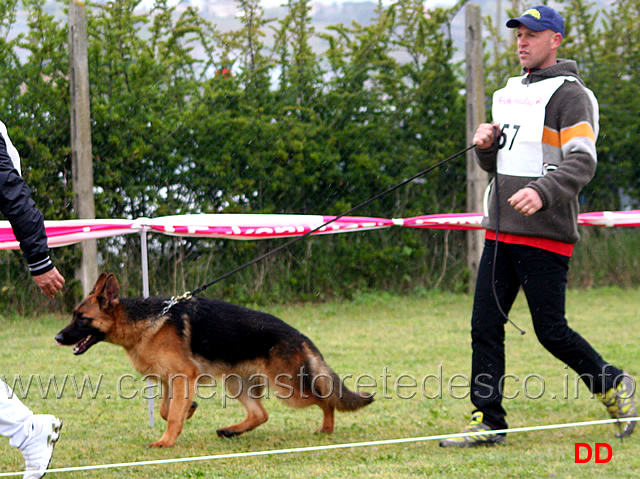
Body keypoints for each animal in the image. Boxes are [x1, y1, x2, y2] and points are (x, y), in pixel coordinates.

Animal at [58, 274, 376, 450]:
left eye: (81, 318)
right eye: (73, 315)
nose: (58, 338)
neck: (146, 320)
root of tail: (300, 336)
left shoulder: (182, 377)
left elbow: (171, 414)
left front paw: (166, 441)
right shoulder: (169, 380)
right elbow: (165, 410)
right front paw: (189, 411)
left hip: (288, 390)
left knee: (326, 399)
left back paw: (326, 429)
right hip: (236, 383)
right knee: (261, 414)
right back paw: (231, 431)